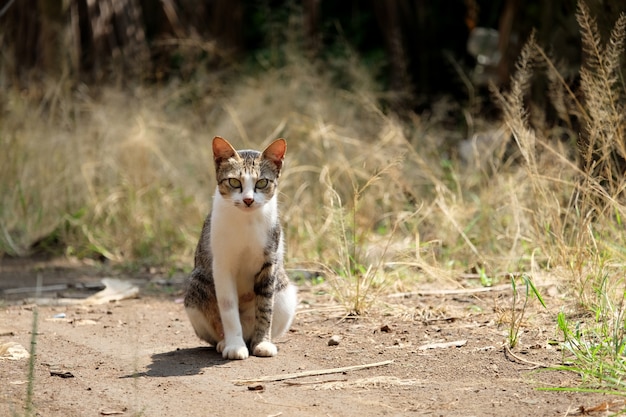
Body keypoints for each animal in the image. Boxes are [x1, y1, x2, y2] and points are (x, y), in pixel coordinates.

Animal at [184, 136, 296, 358]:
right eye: (234, 181)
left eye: (262, 182)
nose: (248, 199)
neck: (246, 222)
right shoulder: (222, 266)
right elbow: (227, 310)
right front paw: (234, 346)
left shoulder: (269, 264)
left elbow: (265, 308)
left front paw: (262, 343)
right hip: (195, 286)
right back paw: (224, 342)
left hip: (286, 293)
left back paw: (253, 341)